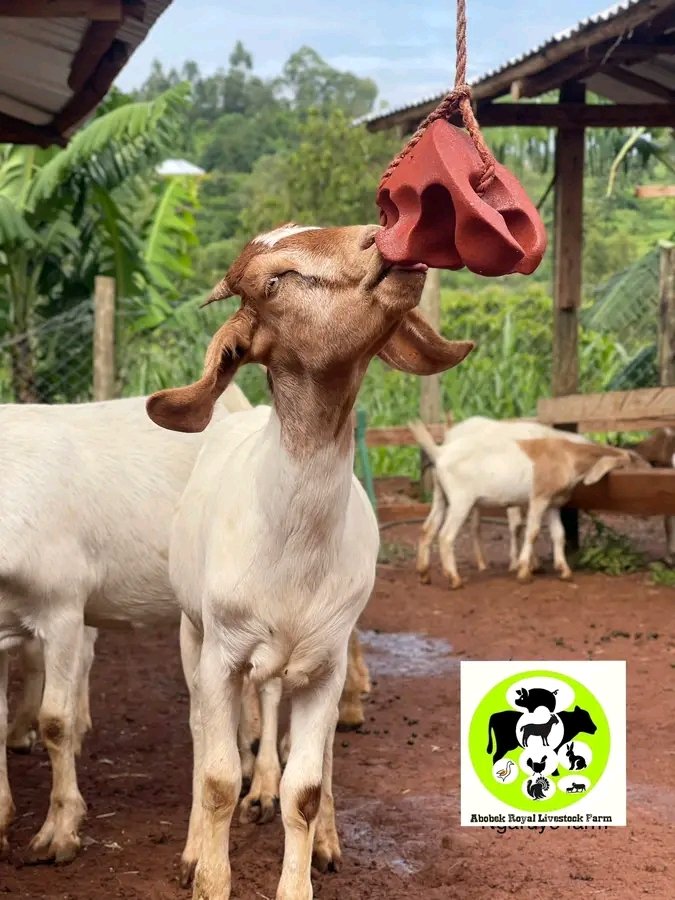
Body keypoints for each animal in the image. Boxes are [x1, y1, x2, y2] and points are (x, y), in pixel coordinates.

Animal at [146, 222, 472, 899]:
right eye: (276, 279)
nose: (382, 239)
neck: (293, 548)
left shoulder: (326, 660)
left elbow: (307, 786)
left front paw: (303, 863)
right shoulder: (221, 652)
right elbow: (217, 775)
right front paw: (208, 876)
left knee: (300, 739)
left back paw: (320, 836)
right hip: (194, 633)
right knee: (204, 733)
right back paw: (200, 838)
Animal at [410, 416, 648, 588]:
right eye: (630, 463)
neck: (567, 455)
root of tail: (440, 452)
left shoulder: (553, 503)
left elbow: (558, 534)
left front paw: (564, 571)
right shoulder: (538, 499)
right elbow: (531, 532)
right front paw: (524, 571)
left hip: (441, 496)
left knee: (427, 529)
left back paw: (424, 575)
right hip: (461, 500)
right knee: (445, 536)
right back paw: (455, 579)